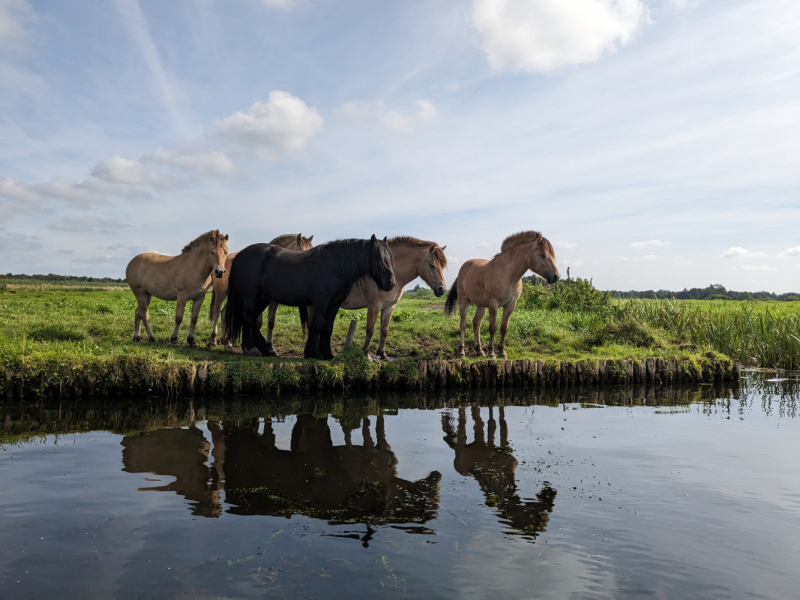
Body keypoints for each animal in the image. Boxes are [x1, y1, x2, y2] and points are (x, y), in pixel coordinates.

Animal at [223, 233, 396, 356]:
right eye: (379, 258)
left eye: (389, 257)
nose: (391, 283)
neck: (334, 267)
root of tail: (239, 256)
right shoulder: (320, 302)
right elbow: (317, 325)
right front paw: (314, 353)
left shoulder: (335, 305)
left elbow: (328, 328)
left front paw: (327, 354)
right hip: (250, 297)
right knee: (248, 318)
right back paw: (255, 349)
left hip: (262, 299)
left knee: (251, 319)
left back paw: (260, 350)